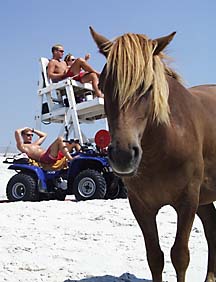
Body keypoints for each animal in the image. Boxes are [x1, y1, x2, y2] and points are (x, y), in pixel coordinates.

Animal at [90, 26, 216, 282]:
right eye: (103, 83)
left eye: (148, 86)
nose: (123, 155)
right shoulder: (141, 206)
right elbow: (154, 257)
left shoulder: (188, 200)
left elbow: (180, 255)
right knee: (212, 229)